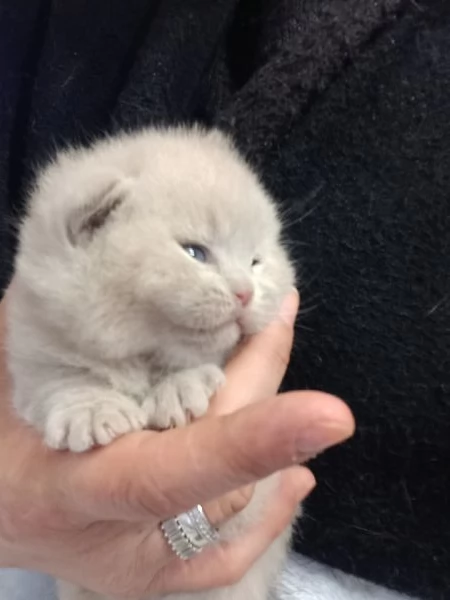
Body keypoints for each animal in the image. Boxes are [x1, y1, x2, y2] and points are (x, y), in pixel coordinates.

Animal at [7, 126, 298, 600]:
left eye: (256, 261)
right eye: (195, 253)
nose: (245, 293)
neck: (139, 353)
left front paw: (179, 390)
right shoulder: (36, 340)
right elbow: (62, 379)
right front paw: (93, 412)